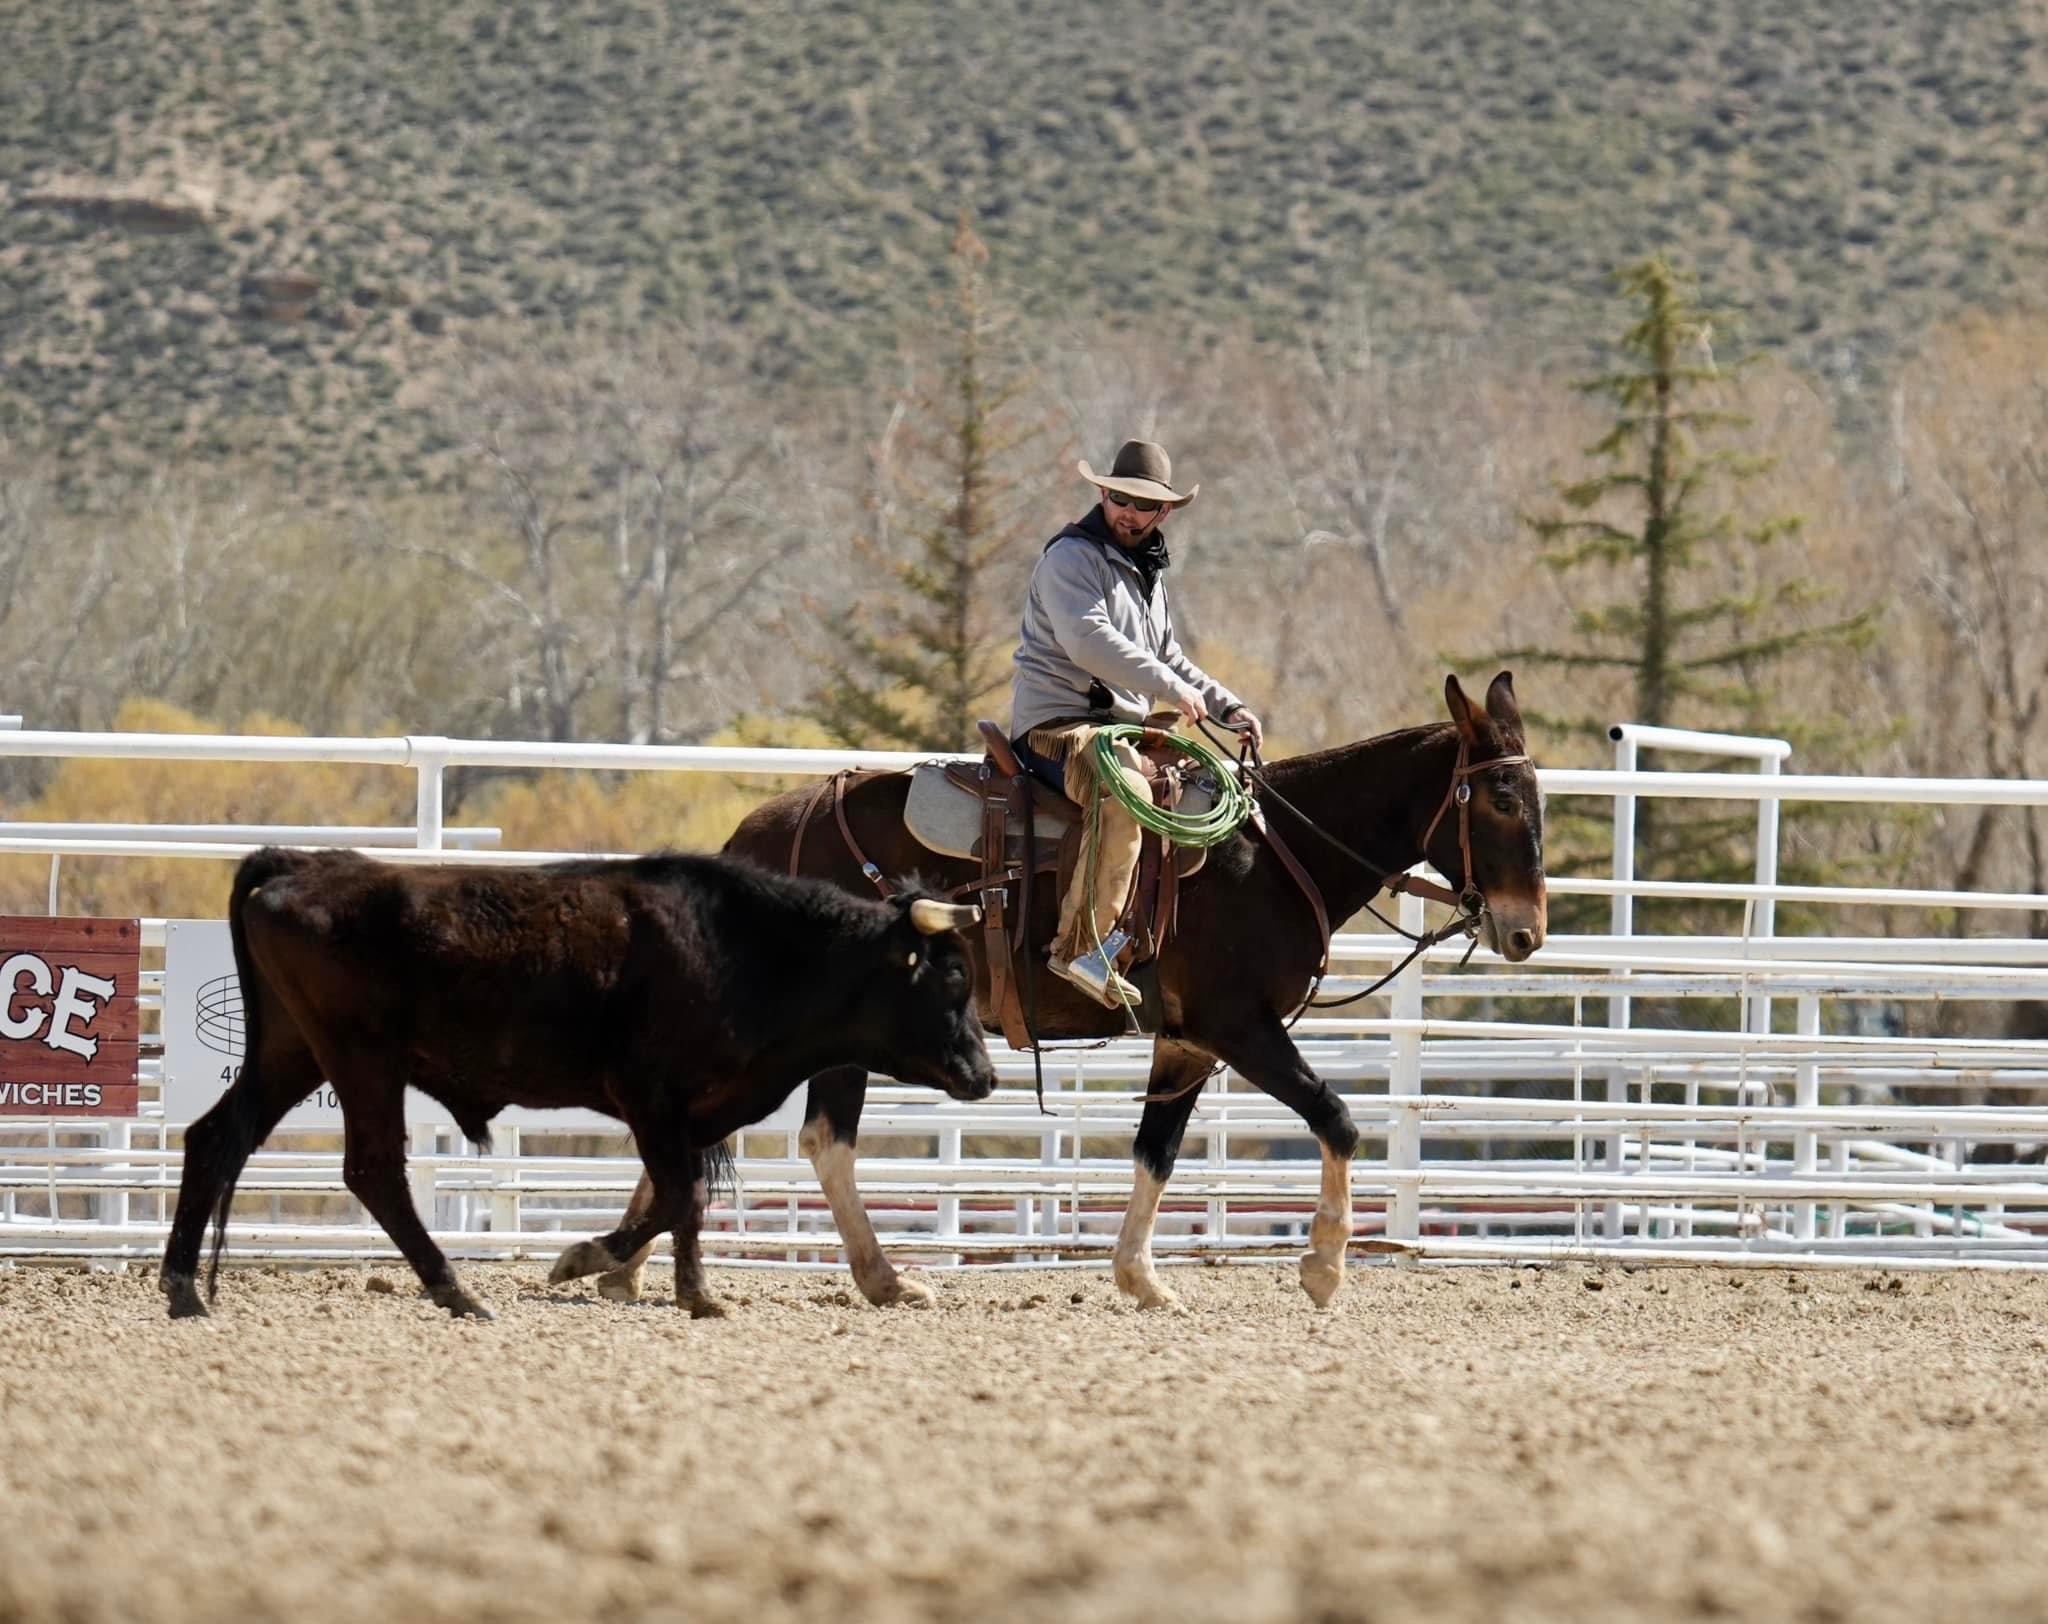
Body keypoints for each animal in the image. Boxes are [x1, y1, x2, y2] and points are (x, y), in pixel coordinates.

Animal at [158, 846, 993, 1322]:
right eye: (952, 978)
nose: (983, 1076)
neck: (745, 950)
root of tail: (301, 864)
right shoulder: (649, 1097)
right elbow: (679, 1197)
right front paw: (596, 1262)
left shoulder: (692, 1113)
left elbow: (681, 1201)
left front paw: (684, 1289)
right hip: (360, 1058)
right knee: (373, 1170)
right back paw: (457, 1292)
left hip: (292, 1053)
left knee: (216, 1138)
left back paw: (184, 1288)